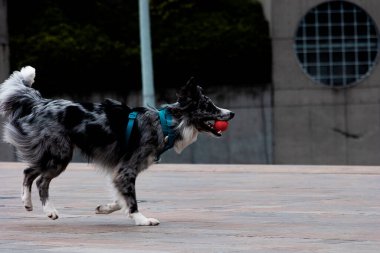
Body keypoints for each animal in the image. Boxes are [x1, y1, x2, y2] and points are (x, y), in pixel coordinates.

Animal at [0, 66, 235, 225]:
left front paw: (105, 208)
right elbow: (131, 196)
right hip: (60, 155)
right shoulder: (127, 168)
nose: (231, 113)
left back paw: (28, 203)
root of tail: (41, 103)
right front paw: (141, 219)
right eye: (209, 107)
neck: (166, 123)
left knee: (29, 171)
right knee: (40, 179)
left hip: (52, 154)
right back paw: (49, 210)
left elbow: (119, 195)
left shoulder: (120, 170)